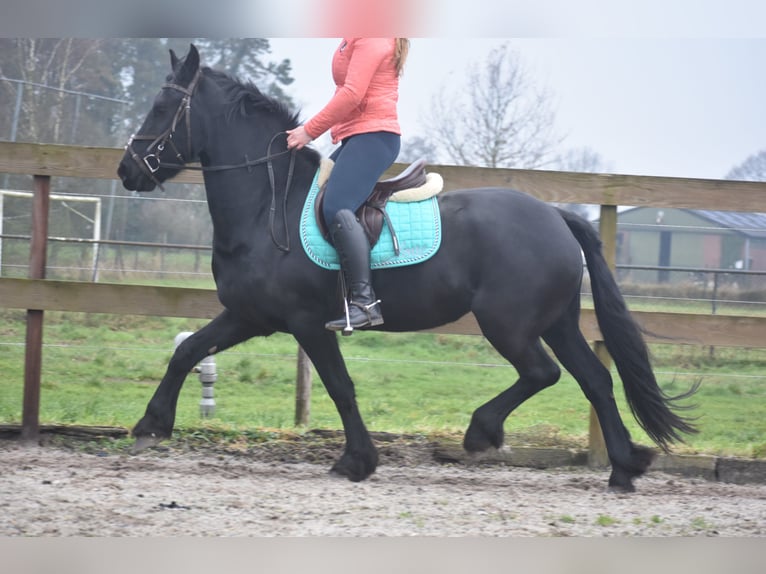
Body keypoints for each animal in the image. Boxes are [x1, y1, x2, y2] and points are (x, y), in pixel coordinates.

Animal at [117, 46, 700, 496]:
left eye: (163, 105)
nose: (127, 170)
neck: (267, 203)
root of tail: (556, 215)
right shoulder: (250, 316)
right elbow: (188, 351)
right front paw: (149, 425)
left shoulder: (308, 323)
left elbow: (340, 386)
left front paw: (357, 461)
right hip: (555, 322)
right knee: (595, 379)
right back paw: (624, 468)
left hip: (509, 324)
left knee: (543, 373)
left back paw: (482, 433)